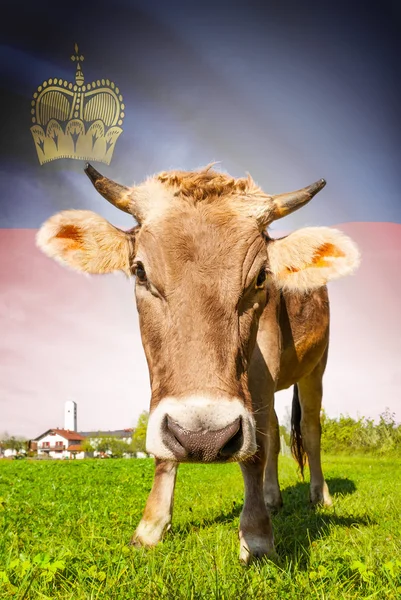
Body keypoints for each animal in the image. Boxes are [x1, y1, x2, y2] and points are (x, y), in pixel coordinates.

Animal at [36, 163, 358, 564]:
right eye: (139, 271)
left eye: (261, 277)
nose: (203, 438)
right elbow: (167, 448)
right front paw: (150, 527)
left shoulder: (263, 363)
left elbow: (255, 452)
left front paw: (257, 535)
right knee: (272, 430)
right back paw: (272, 497)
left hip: (316, 367)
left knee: (310, 432)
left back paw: (319, 496)